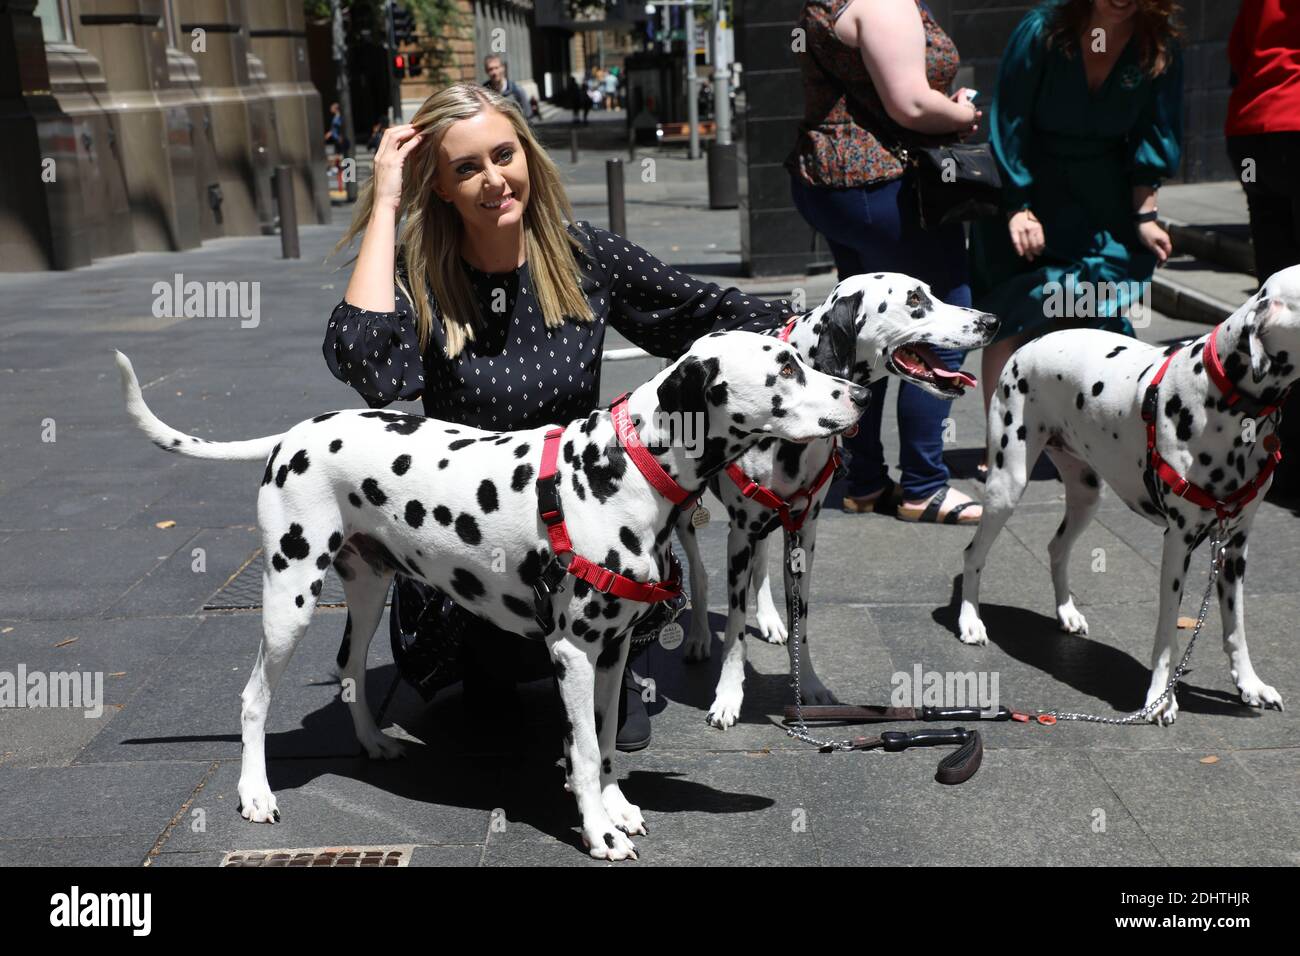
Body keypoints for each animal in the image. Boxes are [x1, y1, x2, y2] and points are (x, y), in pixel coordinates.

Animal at [111, 332, 863, 863]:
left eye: (804, 359)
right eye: (784, 368)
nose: (857, 393)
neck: (626, 467)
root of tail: (295, 433)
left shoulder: (614, 652)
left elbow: (605, 744)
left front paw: (615, 806)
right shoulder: (572, 654)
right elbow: (582, 752)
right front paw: (599, 833)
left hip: (368, 588)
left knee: (349, 669)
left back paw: (373, 744)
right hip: (288, 597)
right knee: (253, 698)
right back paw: (255, 794)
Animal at [676, 273, 998, 728]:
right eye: (915, 299)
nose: (992, 321)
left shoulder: (803, 533)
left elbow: (802, 623)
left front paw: (808, 685)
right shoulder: (739, 535)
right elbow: (735, 630)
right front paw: (728, 696)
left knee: (761, 567)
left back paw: (769, 619)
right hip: (689, 512)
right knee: (701, 573)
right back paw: (700, 636)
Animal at [956, 264, 1300, 723]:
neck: (1225, 396)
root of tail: (1029, 344)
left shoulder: (1235, 546)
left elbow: (1236, 626)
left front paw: (1250, 685)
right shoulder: (1178, 542)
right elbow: (1167, 632)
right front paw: (1159, 698)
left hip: (1086, 494)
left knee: (1056, 548)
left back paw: (1067, 612)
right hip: (1005, 487)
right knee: (973, 554)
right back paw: (970, 622)